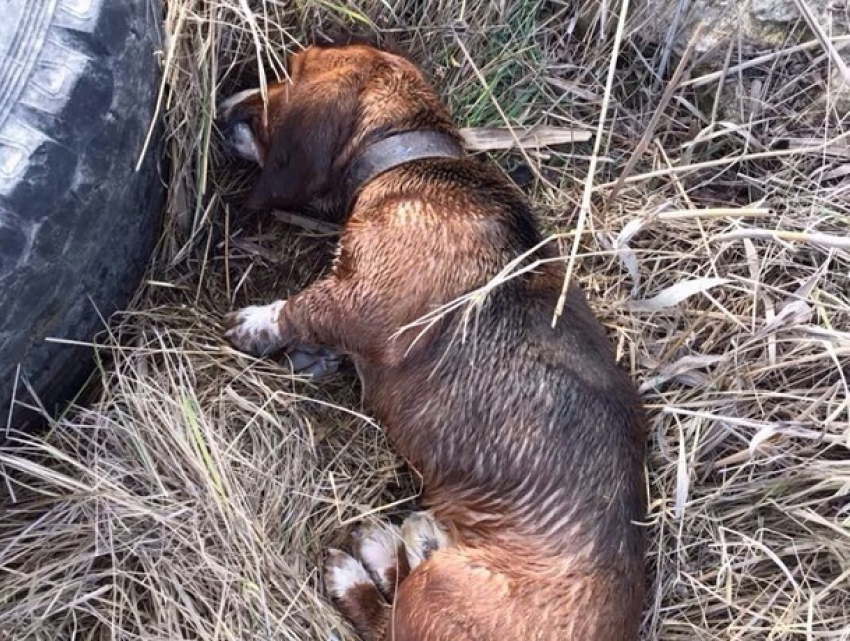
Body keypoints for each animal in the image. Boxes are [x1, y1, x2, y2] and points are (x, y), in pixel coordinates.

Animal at [217, 40, 644, 640]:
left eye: (288, 72)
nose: (221, 109)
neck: (409, 158)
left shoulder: (358, 300)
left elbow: (302, 309)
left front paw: (259, 324)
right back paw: (398, 543)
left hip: (440, 589)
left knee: (386, 622)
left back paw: (359, 568)